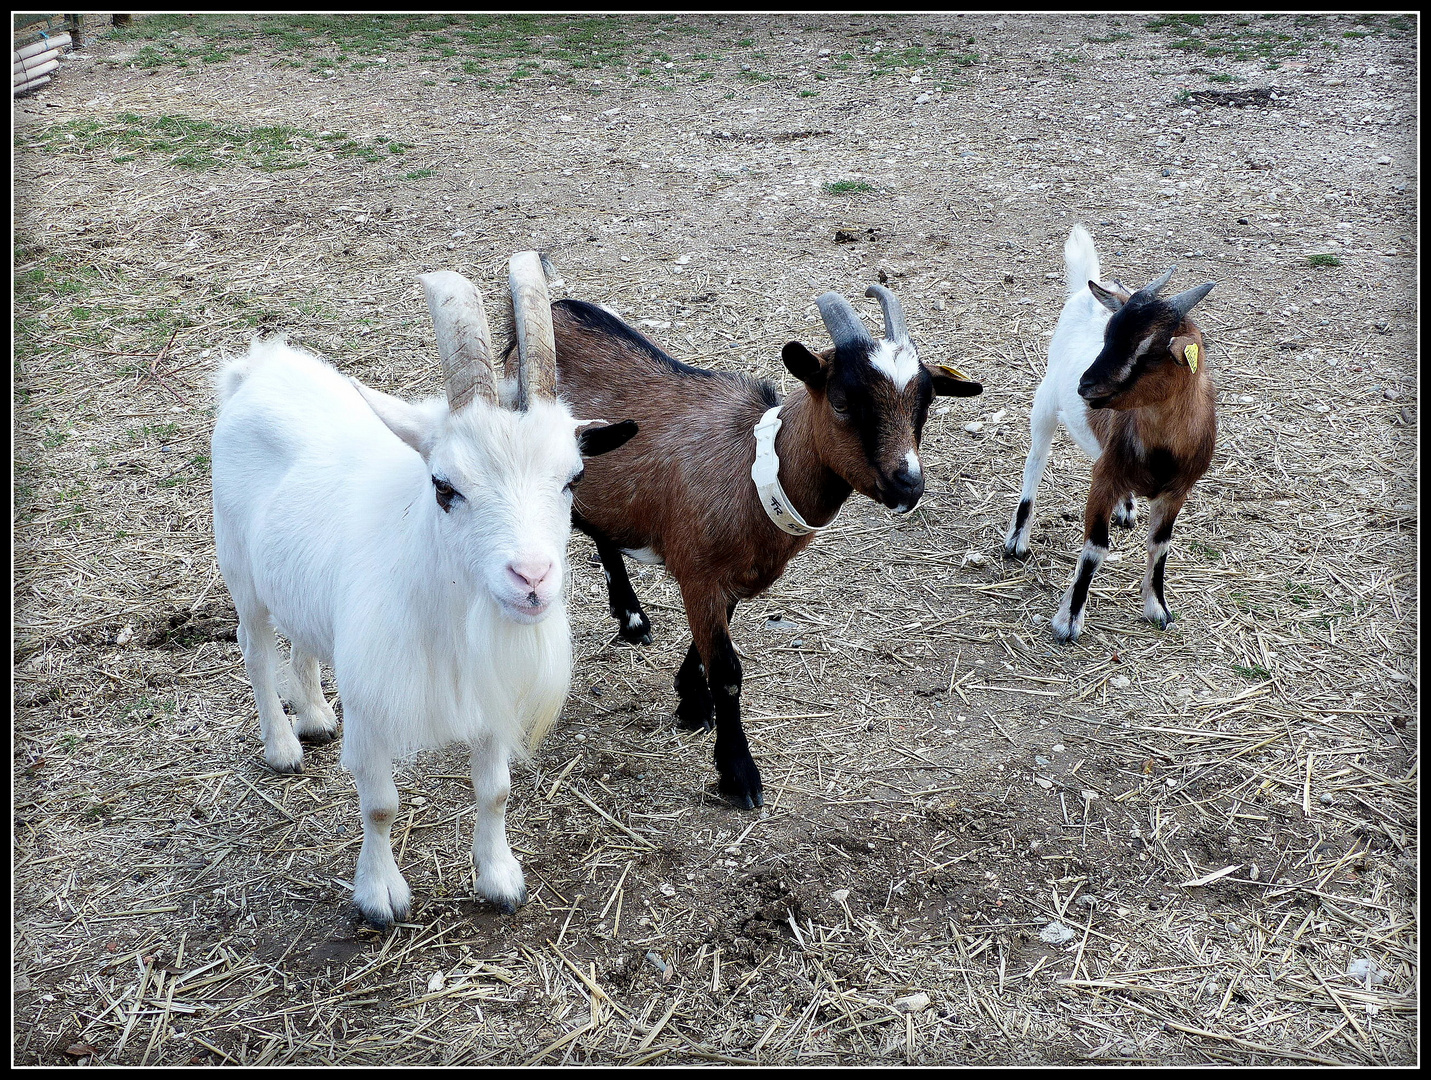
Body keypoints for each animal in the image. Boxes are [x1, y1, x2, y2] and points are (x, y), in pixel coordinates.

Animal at [208, 266, 635, 926]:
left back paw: (315, 717)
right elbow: (380, 803)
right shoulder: (373, 703)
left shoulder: (488, 695)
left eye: (574, 478)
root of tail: (257, 368)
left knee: (303, 642)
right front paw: (380, 894)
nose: (532, 578)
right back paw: (282, 744)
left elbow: (495, 790)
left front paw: (499, 878)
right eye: (444, 486)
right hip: (239, 570)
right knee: (255, 649)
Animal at [1007, 223, 1219, 637]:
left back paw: (1127, 507)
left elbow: (1160, 545)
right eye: (1107, 335)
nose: (1085, 386)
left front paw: (1158, 607)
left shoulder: (1177, 492)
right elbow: (1095, 549)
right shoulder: (1103, 479)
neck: (1162, 450)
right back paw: (1017, 539)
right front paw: (1069, 621)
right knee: (1034, 465)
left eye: (1149, 351)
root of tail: (1087, 288)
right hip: (1044, 404)